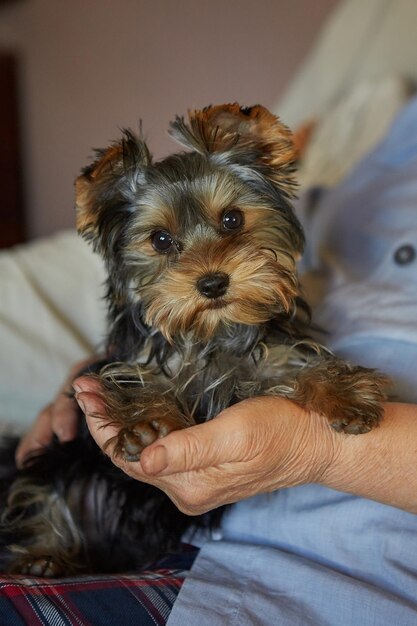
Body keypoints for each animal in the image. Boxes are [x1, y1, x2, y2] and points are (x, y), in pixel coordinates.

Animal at [0, 102, 386, 576]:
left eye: (232, 219)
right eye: (161, 240)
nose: (213, 283)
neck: (210, 334)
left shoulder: (270, 356)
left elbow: (304, 366)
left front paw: (344, 394)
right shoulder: (131, 362)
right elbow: (138, 383)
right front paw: (148, 424)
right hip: (62, 458)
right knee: (41, 489)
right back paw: (43, 555)